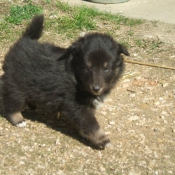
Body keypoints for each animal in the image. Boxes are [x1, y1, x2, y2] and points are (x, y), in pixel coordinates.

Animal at [2, 15, 129, 149]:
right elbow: (91, 124)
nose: (96, 88)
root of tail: (23, 41)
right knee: (12, 104)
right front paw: (102, 139)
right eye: (87, 68)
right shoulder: (76, 104)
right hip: (16, 85)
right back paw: (18, 120)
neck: (75, 76)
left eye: (106, 68)